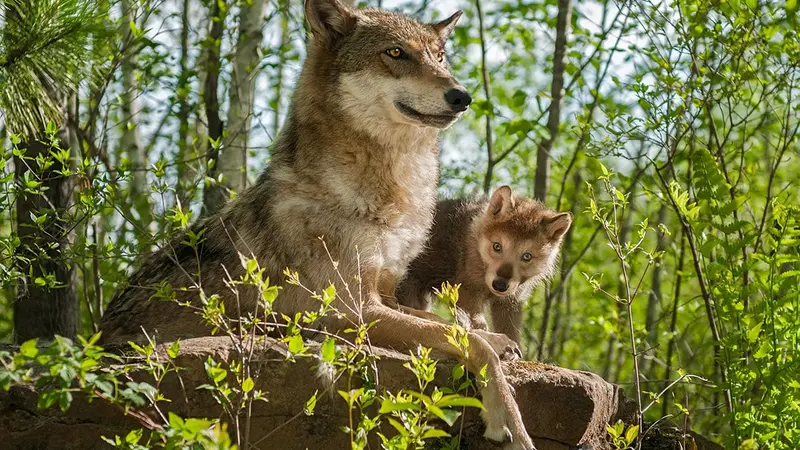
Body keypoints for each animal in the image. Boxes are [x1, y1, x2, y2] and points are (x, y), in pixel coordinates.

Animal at [99, 0, 535, 447]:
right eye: (396, 53)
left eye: (441, 57)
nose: (462, 96)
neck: (391, 192)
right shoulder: (350, 312)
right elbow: (466, 339)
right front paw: (509, 419)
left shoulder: (386, 294)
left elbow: (448, 325)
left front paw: (501, 340)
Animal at [395, 186, 572, 346]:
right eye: (497, 246)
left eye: (527, 256)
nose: (500, 285)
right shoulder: (468, 291)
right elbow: (478, 324)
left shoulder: (509, 302)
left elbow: (512, 333)